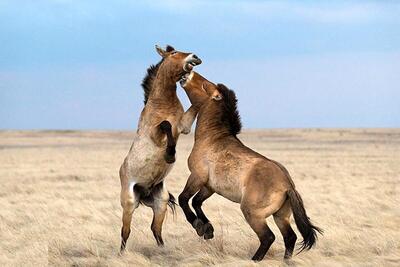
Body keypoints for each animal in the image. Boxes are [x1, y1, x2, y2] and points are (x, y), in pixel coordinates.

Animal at [118, 45, 200, 253]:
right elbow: (165, 125)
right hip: (129, 203)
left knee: (155, 229)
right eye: (174, 53)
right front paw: (170, 155)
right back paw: (121, 254)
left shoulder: (184, 126)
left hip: (160, 202)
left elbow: (195, 106)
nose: (195, 57)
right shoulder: (156, 133)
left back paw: (163, 250)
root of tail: (144, 192)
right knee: (125, 231)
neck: (163, 103)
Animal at [178, 71, 322, 262]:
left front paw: (199, 227)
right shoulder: (209, 187)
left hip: (252, 214)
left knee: (268, 237)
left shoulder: (196, 176)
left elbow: (184, 199)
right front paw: (208, 230)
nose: (187, 73)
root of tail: (288, 185)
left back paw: (254, 260)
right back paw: (286, 261)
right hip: (280, 216)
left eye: (205, 84)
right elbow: (196, 202)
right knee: (290, 237)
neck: (212, 138)